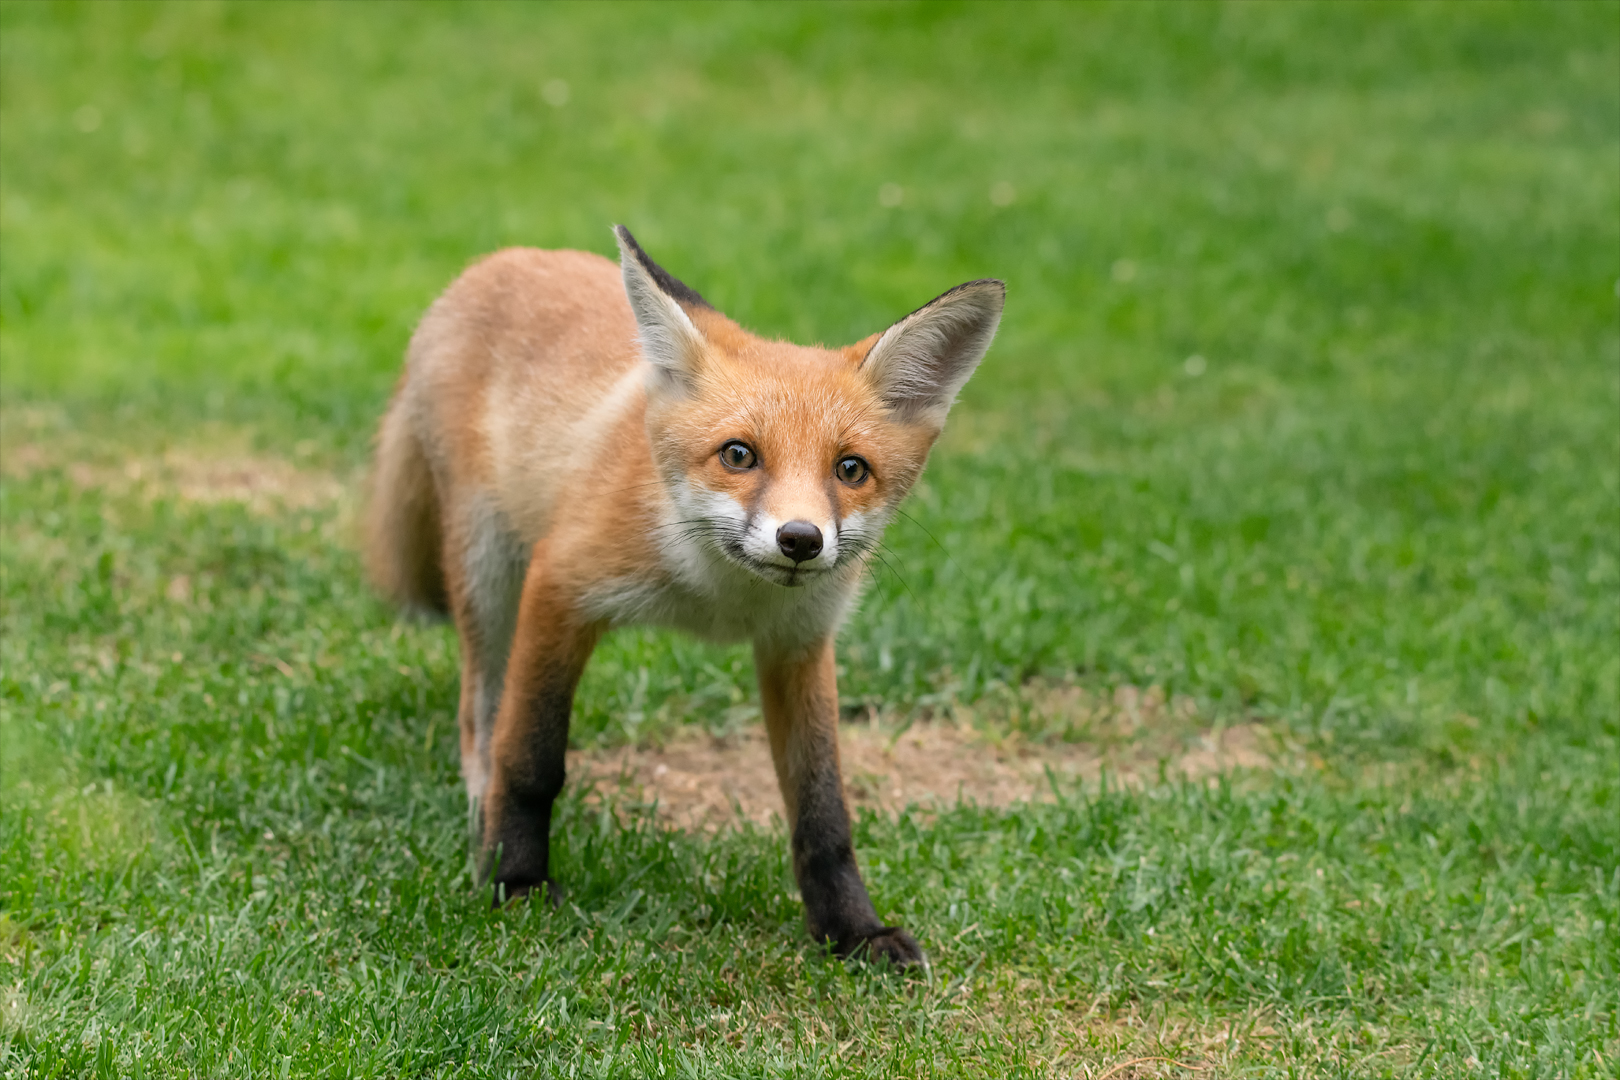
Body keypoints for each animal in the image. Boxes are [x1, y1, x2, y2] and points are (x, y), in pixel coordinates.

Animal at [367, 223, 997, 965]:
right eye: (738, 455)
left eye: (851, 469)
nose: (800, 539)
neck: (721, 600)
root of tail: (495, 262)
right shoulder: (561, 586)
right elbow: (530, 760)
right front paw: (515, 882)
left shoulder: (799, 644)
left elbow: (823, 812)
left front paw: (852, 931)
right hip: (487, 567)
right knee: (482, 715)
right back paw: (481, 812)